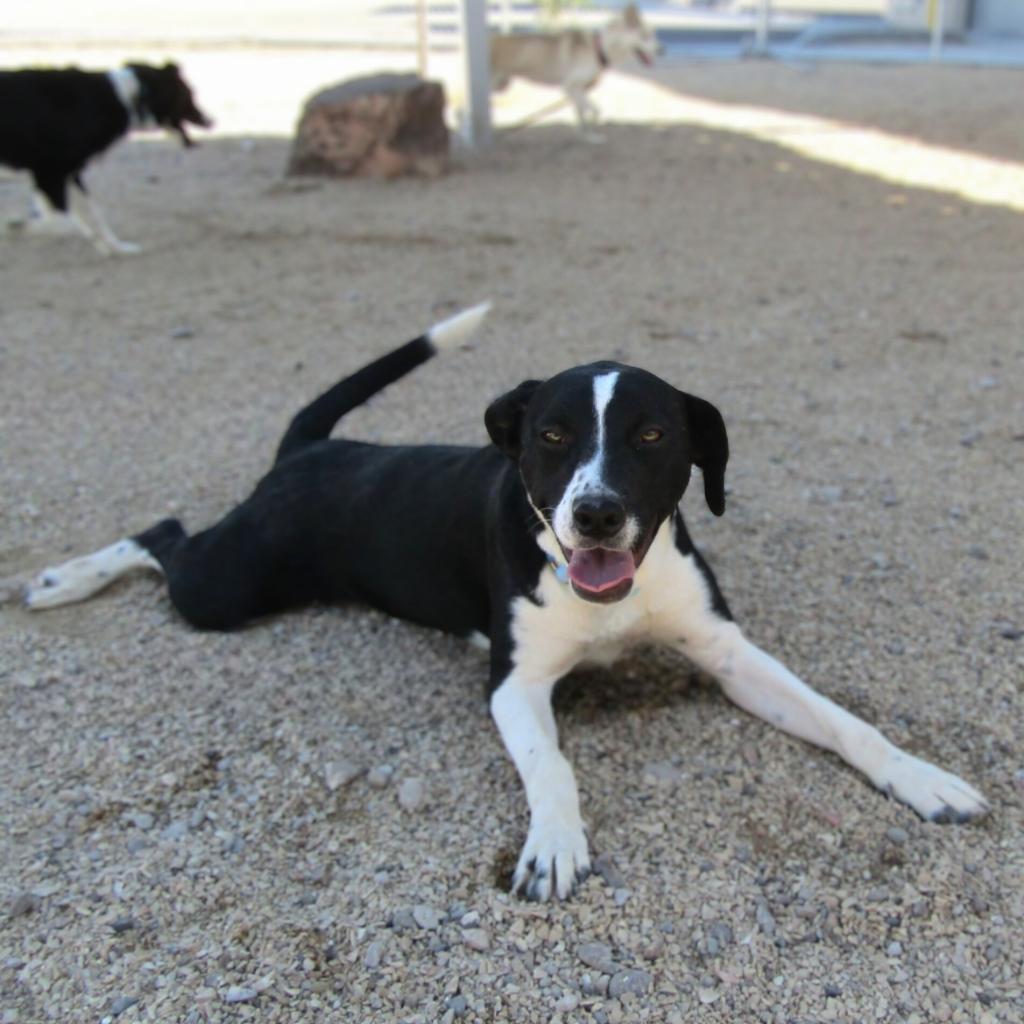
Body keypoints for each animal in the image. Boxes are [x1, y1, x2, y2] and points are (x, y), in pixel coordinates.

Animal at [0, 61, 211, 253]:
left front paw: (117, 246)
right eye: (189, 94)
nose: (211, 121)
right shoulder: (50, 173)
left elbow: (93, 212)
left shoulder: (68, 173)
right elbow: (58, 220)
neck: (127, 98)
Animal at [22, 307, 983, 901]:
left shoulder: (732, 657)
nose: (595, 513)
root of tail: (311, 451)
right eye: (552, 435)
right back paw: (60, 580)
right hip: (227, 585)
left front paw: (921, 777)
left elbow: (846, 721)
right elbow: (551, 764)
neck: (607, 594)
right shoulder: (513, 685)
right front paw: (555, 843)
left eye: (652, 434)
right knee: (161, 534)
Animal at [491, 4, 659, 140]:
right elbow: (595, 111)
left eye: (652, 34)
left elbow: (582, 114)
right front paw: (591, 132)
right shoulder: (570, 87)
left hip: (501, 85)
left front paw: (586, 136)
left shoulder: (579, 89)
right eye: (645, 36)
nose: (662, 50)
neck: (598, 49)